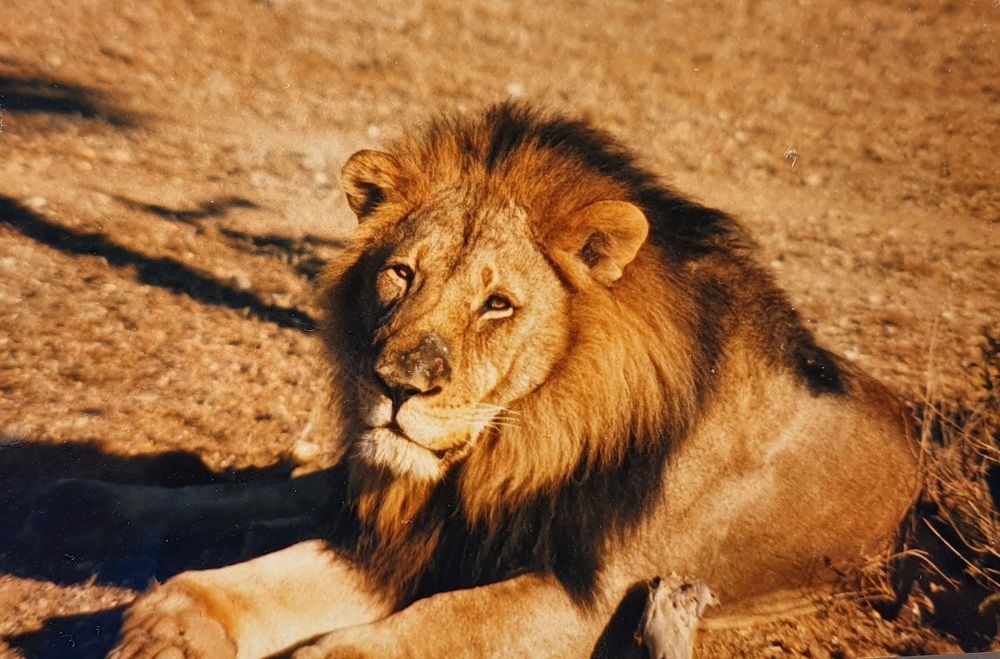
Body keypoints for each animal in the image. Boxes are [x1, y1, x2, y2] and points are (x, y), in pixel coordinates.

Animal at [111, 103, 919, 658]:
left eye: (497, 304)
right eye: (401, 274)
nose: (396, 385)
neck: (519, 445)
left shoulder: (592, 596)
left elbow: (409, 632)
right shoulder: (418, 534)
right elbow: (255, 575)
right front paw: (170, 627)